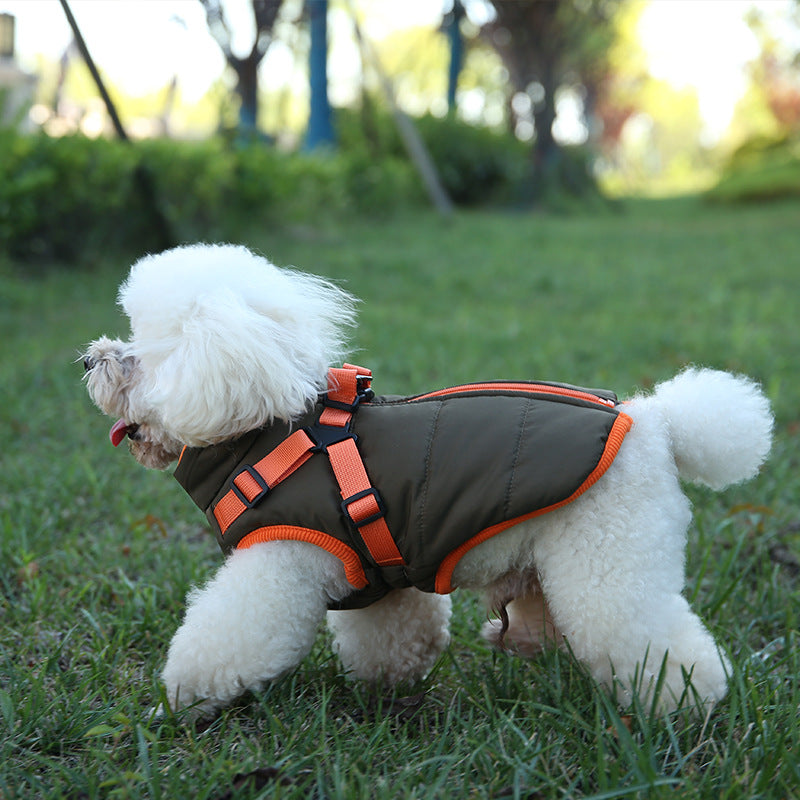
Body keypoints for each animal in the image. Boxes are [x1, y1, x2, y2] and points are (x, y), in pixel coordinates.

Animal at [79, 244, 768, 720]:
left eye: (139, 357)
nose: (89, 358)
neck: (269, 432)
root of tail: (658, 422)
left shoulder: (280, 562)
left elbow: (222, 644)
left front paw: (177, 704)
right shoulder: (377, 577)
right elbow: (396, 636)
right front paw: (389, 686)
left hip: (611, 556)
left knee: (649, 640)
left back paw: (689, 712)